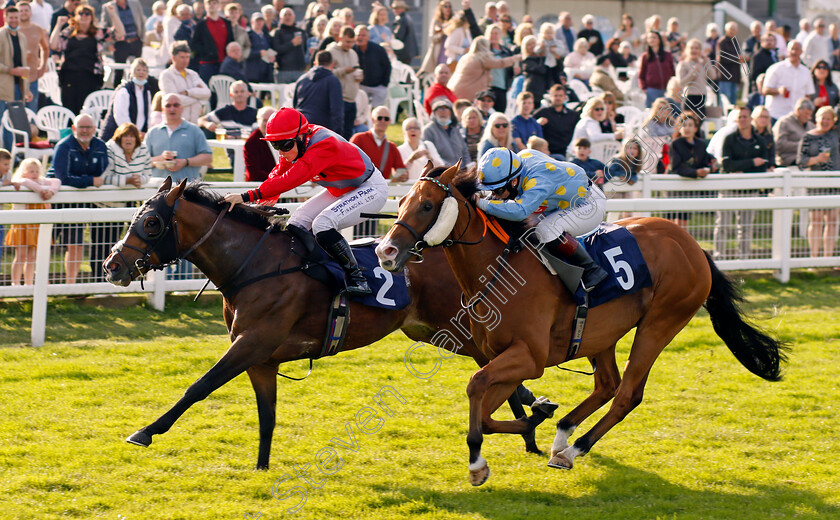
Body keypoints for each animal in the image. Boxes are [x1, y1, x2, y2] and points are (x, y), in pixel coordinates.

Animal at [101, 179, 552, 472]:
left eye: (152, 223)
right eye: (136, 217)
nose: (112, 265)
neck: (254, 264)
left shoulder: (251, 342)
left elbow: (199, 386)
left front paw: (145, 431)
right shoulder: (261, 357)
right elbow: (267, 414)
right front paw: (261, 467)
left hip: (457, 325)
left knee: (497, 366)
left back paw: (530, 424)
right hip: (431, 330)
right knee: (493, 368)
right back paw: (532, 423)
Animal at [374, 164, 788, 488]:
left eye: (428, 205)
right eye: (401, 201)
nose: (385, 251)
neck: (497, 271)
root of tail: (693, 245)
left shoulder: (529, 357)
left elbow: (478, 389)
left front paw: (480, 460)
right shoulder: (500, 357)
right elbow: (488, 410)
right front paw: (534, 419)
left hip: (660, 323)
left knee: (627, 394)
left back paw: (574, 448)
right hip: (600, 334)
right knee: (607, 384)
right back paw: (562, 437)